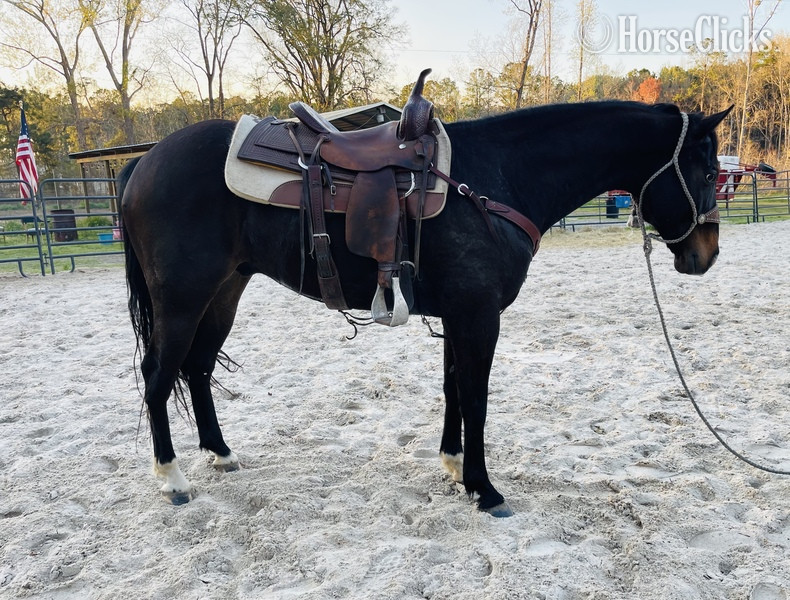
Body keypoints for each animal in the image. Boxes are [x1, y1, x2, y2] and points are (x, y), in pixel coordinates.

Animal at [119, 100, 731, 516]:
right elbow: (476, 396)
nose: (706, 255)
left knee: (197, 368)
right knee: (158, 375)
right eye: (707, 172)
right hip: (182, 300)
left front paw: (454, 466)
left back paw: (221, 453)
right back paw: (172, 478)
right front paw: (484, 489)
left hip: (224, 291)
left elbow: (454, 388)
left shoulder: (459, 315)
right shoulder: (479, 316)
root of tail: (143, 164)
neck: (495, 179)